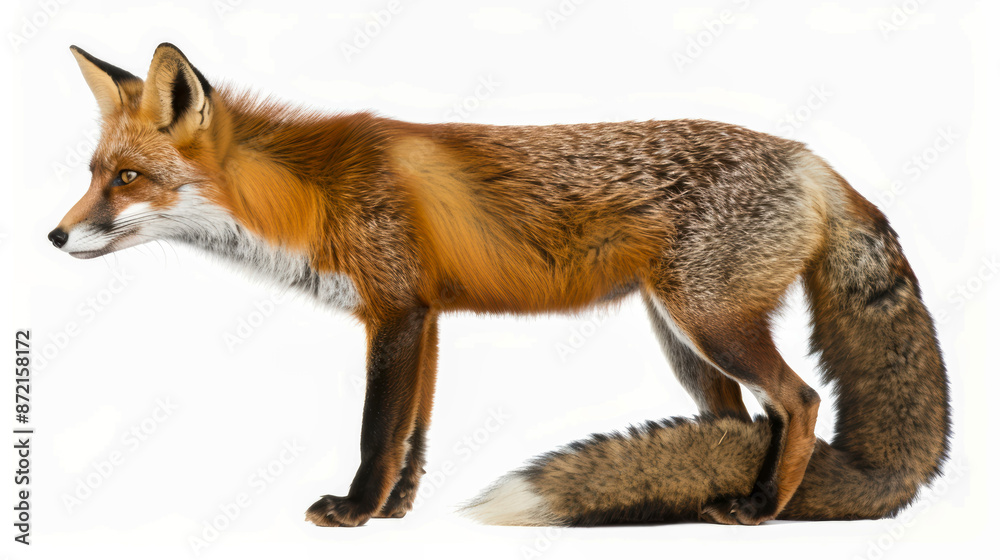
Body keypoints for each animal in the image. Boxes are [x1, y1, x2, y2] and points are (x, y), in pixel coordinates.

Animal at [49, 43, 949, 527]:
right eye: (92, 172)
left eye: (128, 179)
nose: (53, 237)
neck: (307, 195)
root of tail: (813, 161)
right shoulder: (425, 317)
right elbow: (414, 432)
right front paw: (397, 510)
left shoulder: (395, 313)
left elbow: (377, 430)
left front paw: (354, 512)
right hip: (684, 340)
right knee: (736, 422)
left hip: (712, 321)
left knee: (800, 401)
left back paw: (762, 511)